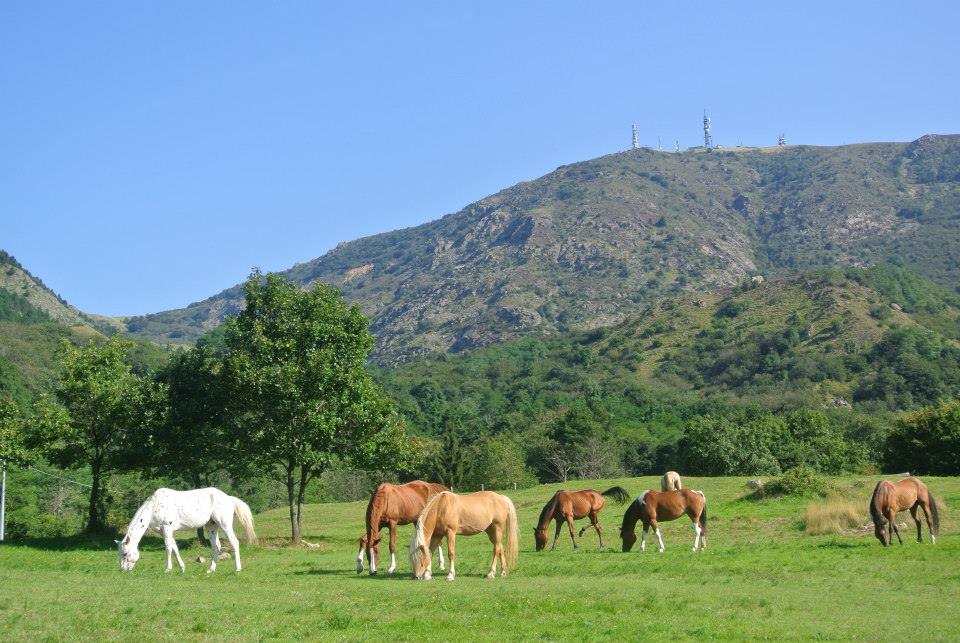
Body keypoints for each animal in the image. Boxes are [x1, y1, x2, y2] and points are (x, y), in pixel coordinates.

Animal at [116, 487, 257, 573]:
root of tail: (229, 498)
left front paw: (168, 569)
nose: (123, 570)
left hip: (224, 524)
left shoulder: (167, 528)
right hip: (211, 526)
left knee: (234, 543)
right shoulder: (165, 532)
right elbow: (175, 549)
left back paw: (237, 569)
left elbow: (168, 549)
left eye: (125, 553)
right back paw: (210, 570)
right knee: (216, 546)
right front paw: (182, 568)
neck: (154, 506)